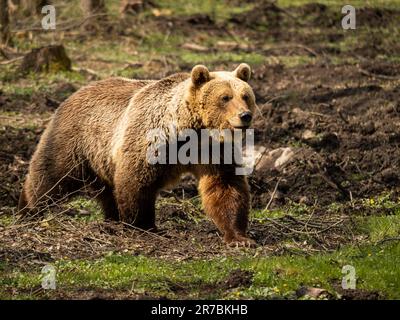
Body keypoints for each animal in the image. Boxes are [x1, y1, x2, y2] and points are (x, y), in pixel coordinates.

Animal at [18, 63, 256, 246]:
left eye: (245, 96)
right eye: (225, 97)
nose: (245, 116)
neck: (189, 131)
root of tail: (74, 93)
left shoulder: (212, 148)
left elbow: (225, 186)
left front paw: (239, 238)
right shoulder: (150, 139)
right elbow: (136, 182)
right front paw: (142, 225)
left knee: (107, 190)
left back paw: (111, 219)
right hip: (74, 141)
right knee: (51, 176)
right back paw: (28, 209)